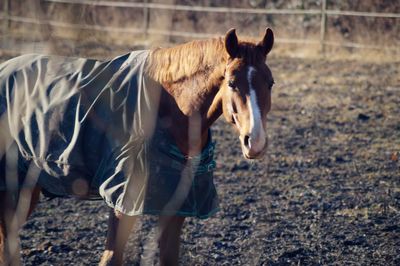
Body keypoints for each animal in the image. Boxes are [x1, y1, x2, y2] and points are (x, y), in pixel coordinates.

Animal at [0, 28, 274, 264]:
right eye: (232, 83)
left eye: (270, 82)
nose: (255, 141)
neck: (171, 109)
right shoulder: (123, 202)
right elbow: (111, 258)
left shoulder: (177, 207)